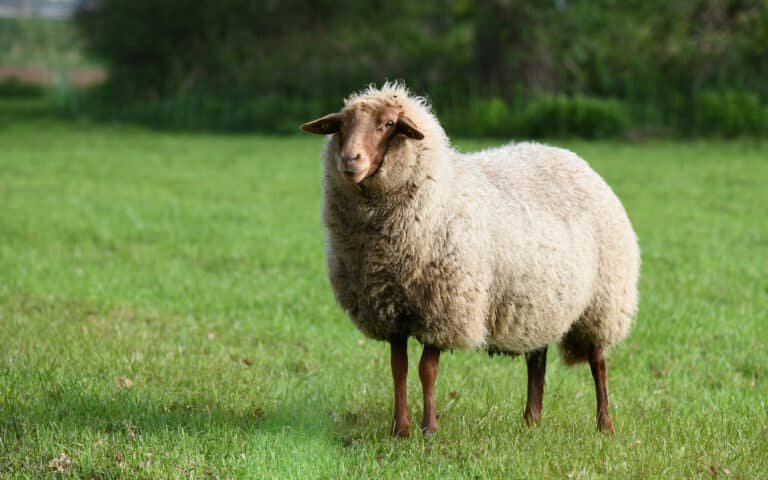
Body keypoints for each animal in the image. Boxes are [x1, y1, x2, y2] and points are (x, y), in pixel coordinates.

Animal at [304, 83, 640, 438]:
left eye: (388, 124)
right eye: (341, 125)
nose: (349, 160)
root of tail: (573, 158)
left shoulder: (443, 309)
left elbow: (426, 369)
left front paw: (429, 429)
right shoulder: (390, 310)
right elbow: (399, 369)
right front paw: (400, 429)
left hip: (603, 302)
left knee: (598, 361)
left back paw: (604, 424)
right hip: (538, 303)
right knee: (537, 358)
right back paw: (531, 420)